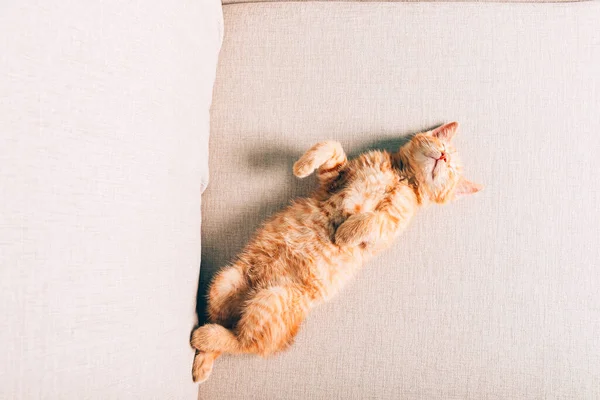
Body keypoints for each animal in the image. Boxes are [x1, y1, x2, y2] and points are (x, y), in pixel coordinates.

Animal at [192, 122, 482, 384]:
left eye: (452, 170)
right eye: (442, 147)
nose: (443, 157)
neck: (402, 177)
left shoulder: (387, 230)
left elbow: (372, 221)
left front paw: (344, 233)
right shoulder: (336, 176)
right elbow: (331, 146)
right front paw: (302, 166)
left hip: (271, 300)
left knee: (246, 343)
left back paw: (206, 339)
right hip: (226, 281)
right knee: (229, 328)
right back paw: (203, 356)